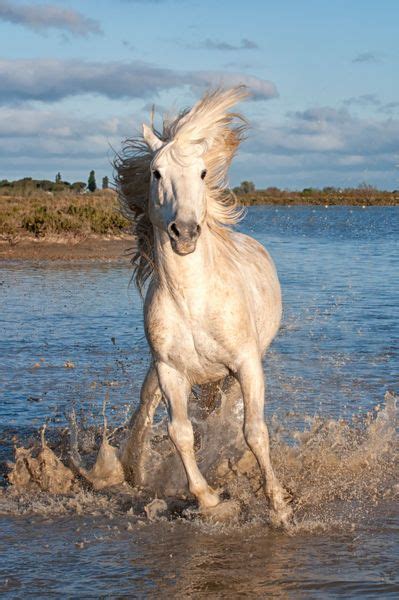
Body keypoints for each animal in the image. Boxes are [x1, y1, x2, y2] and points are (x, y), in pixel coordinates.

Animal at [117, 88, 292, 524]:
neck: (192, 300)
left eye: (201, 173)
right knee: (147, 410)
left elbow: (254, 431)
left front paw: (279, 507)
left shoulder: (246, 364)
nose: (184, 232)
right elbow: (180, 433)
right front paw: (210, 500)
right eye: (156, 173)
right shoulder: (170, 370)